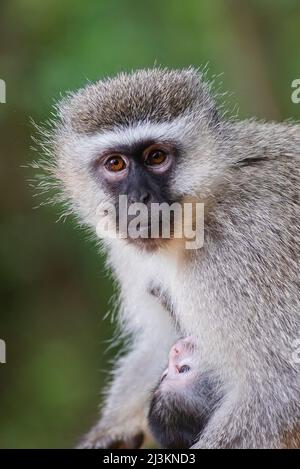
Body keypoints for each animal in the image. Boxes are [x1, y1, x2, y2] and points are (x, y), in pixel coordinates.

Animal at [38, 67, 300, 448]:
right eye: (115, 163)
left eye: (157, 157)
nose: (139, 198)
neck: (203, 211)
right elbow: (161, 337)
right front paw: (111, 430)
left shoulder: (247, 250)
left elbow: (280, 387)